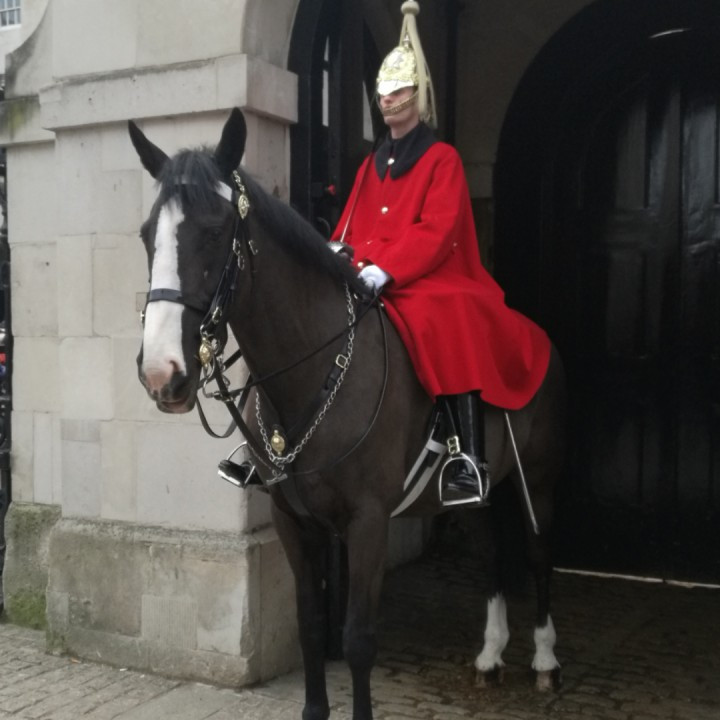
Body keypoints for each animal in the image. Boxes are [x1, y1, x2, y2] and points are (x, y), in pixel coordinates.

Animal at [128, 108, 567, 720]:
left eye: (215, 231)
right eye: (148, 235)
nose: (162, 373)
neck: (311, 368)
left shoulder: (368, 522)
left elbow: (357, 638)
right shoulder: (294, 522)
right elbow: (312, 627)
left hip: (541, 479)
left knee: (539, 554)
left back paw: (546, 660)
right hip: (478, 493)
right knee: (492, 555)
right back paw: (490, 656)